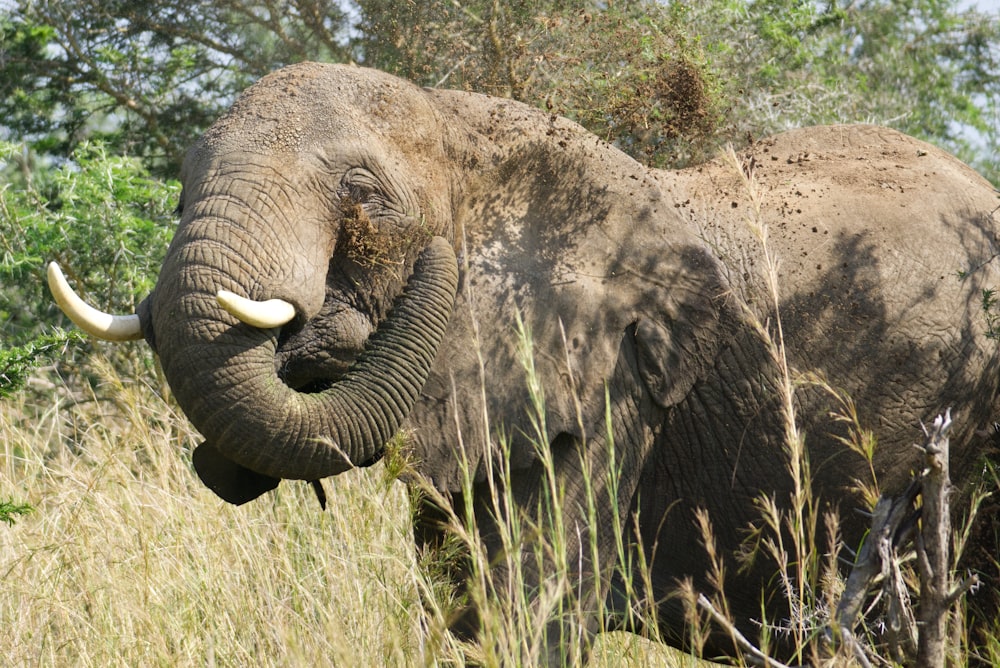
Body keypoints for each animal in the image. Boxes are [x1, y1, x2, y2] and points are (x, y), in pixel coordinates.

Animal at [50, 62, 1000, 664]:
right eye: (179, 193)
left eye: (363, 196)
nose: (322, 331)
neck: (462, 127)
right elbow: (461, 604)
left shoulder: (617, 386)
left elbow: (529, 611)